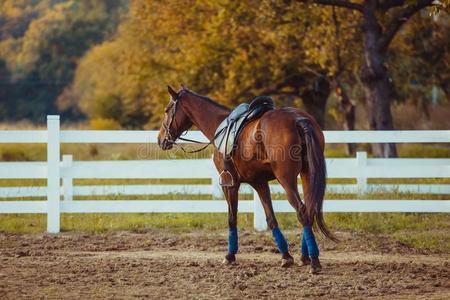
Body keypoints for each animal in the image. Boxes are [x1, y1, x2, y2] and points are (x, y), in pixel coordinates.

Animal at [156, 85, 336, 274]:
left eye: (167, 110)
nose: (160, 139)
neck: (219, 126)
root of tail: (298, 119)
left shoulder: (230, 184)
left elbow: (232, 218)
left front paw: (230, 256)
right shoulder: (260, 183)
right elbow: (271, 218)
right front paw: (286, 256)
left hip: (286, 179)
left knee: (302, 211)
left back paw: (314, 260)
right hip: (307, 174)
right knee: (309, 209)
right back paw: (305, 257)